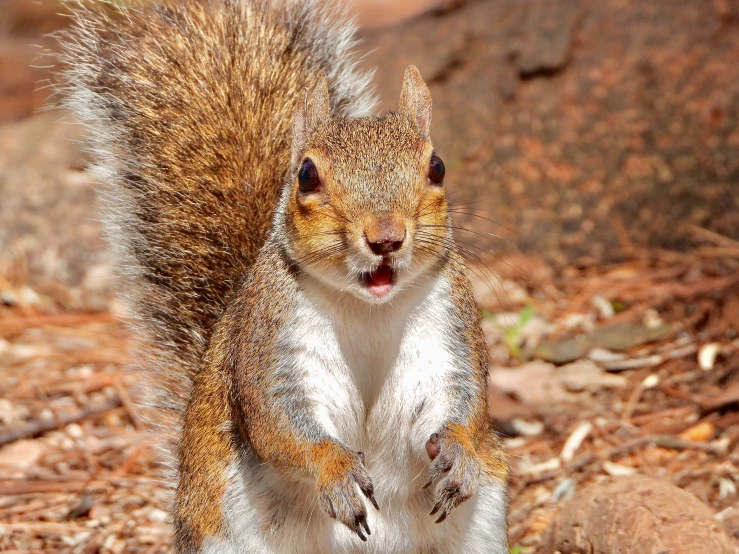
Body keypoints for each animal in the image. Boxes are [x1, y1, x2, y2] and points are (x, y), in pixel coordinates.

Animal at [59, 1, 508, 552]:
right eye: (307, 175)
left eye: (437, 166)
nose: (386, 237)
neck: (368, 308)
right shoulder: (269, 337)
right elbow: (278, 422)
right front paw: (333, 469)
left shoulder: (446, 324)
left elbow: (461, 400)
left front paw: (460, 452)